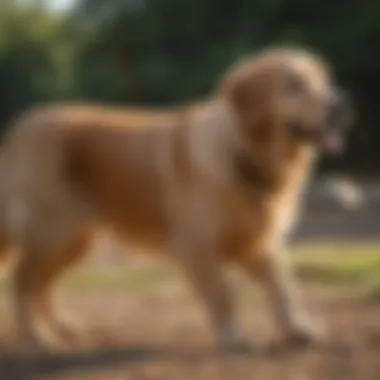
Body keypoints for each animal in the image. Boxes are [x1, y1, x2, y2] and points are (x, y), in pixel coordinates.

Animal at [0, 47, 352, 350]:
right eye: (294, 85)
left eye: (323, 81)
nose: (342, 104)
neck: (244, 152)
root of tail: (21, 126)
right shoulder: (197, 246)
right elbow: (224, 294)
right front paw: (234, 337)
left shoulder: (257, 242)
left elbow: (284, 289)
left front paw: (299, 329)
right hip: (52, 232)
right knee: (22, 282)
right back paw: (36, 337)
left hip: (75, 240)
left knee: (43, 286)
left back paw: (62, 327)